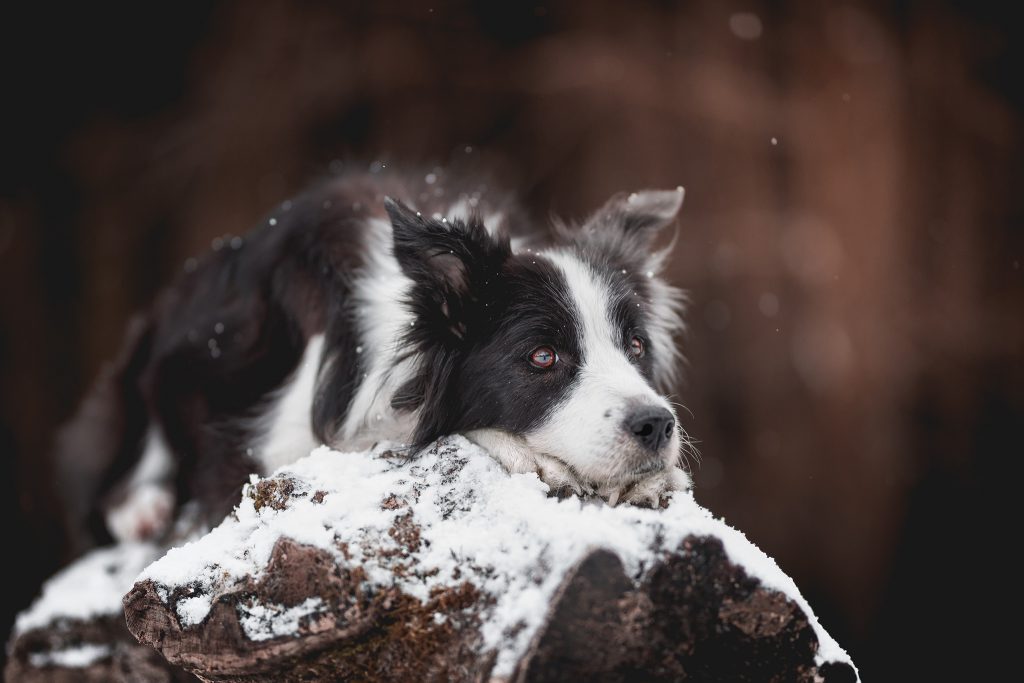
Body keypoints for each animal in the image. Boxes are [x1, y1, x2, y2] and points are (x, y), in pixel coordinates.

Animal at [58, 167, 696, 548]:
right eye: (542, 357)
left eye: (635, 346)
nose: (656, 425)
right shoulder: (267, 453)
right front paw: (536, 459)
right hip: (147, 375)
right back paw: (143, 508)